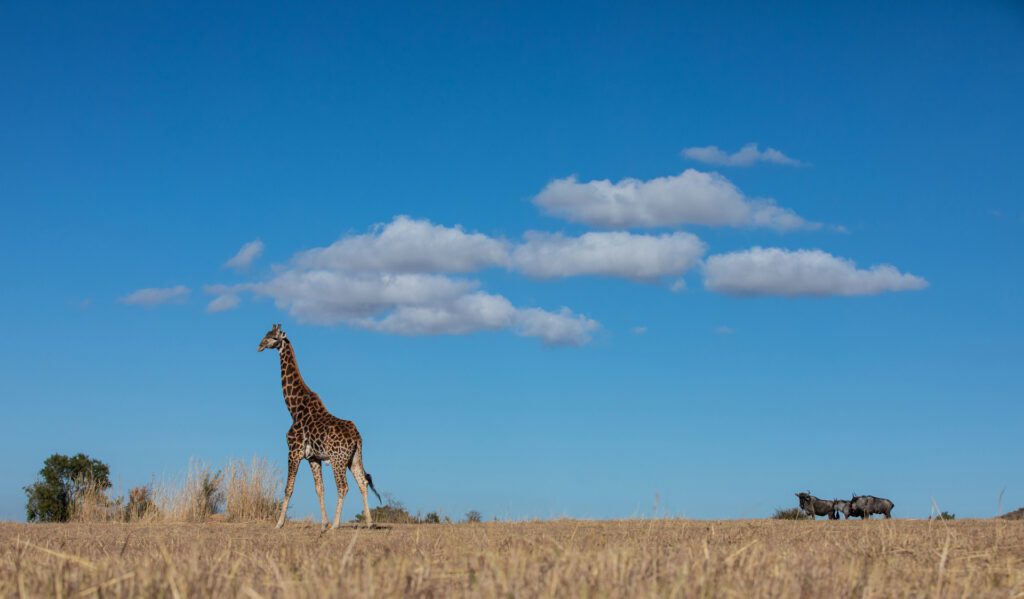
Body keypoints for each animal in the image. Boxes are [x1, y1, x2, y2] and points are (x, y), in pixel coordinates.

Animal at [258, 324, 381, 529]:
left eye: (274, 337)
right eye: (265, 334)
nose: (259, 346)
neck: (294, 407)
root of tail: (357, 437)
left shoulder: (294, 451)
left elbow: (289, 487)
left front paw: (279, 524)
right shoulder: (313, 457)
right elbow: (319, 488)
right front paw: (323, 523)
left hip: (338, 460)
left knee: (343, 487)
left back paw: (336, 525)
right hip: (354, 458)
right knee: (362, 482)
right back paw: (369, 523)